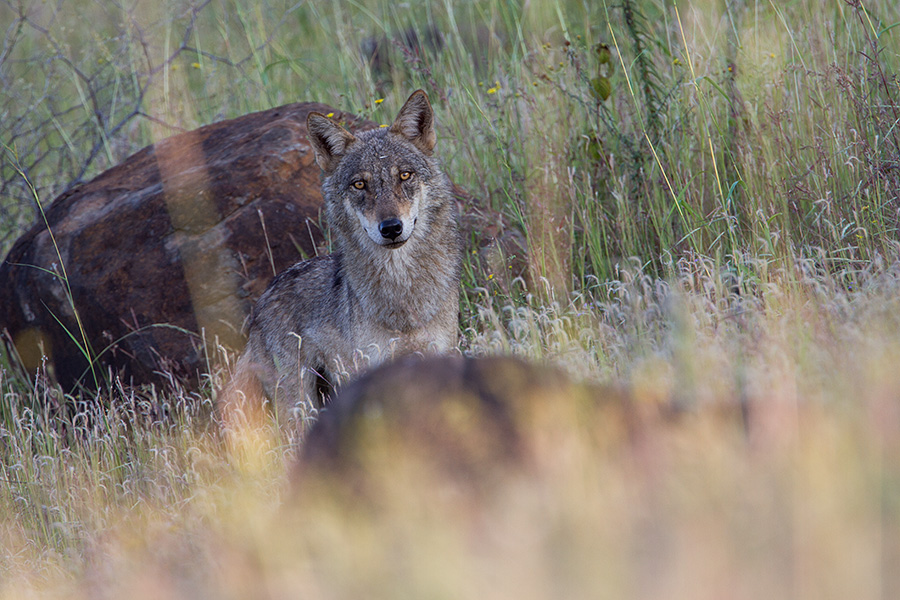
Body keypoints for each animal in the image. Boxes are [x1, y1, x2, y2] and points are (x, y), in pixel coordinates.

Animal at [221, 90, 460, 426]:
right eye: (360, 184)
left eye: (405, 175)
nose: (391, 228)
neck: (402, 297)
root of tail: (262, 300)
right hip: (299, 403)